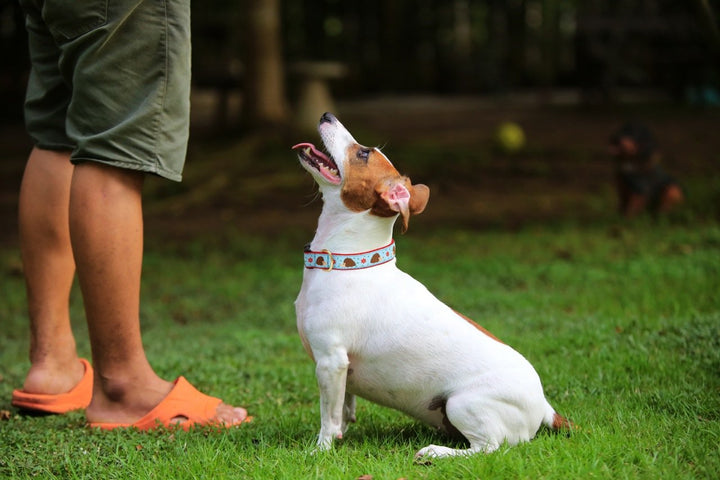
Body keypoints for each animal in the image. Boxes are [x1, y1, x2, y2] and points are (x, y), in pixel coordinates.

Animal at [292, 111, 568, 458]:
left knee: (487, 448)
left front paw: (321, 450)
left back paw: (435, 453)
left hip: (462, 404)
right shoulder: (343, 369)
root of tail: (545, 408)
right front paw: (342, 433)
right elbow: (343, 407)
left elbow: (328, 417)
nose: (327, 114)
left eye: (364, 153)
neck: (349, 261)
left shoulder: (331, 360)